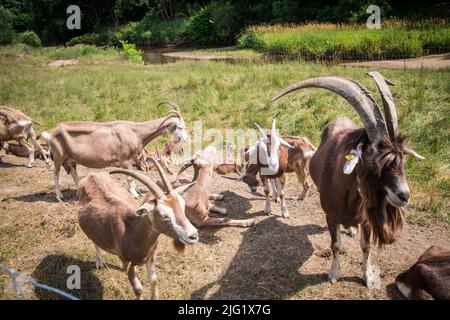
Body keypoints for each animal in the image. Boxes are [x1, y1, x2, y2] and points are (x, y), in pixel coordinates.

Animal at [42, 100, 188, 200]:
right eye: (179, 126)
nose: (186, 139)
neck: (135, 131)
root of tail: (49, 133)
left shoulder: (130, 159)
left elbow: (132, 175)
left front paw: (135, 191)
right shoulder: (124, 159)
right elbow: (129, 177)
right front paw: (134, 194)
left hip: (70, 159)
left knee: (73, 172)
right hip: (58, 156)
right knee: (55, 173)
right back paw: (59, 196)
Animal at [77, 159, 199, 302]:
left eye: (183, 207)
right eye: (164, 215)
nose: (193, 235)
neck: (131, 232)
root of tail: (91, 176)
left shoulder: (151, 257)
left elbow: (154, 280)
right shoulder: (127, 262)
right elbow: (138, 289)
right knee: (94, 242)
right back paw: (99, 263)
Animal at [270, 72, 426, 288]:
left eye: (402, 159)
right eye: (371, 160)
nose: (404, 195)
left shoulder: (366, 219)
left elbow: (366, 246)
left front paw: (367, 277)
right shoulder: (330, 216)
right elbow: (335, 245)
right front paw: (334, 273)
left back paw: (352, 229)